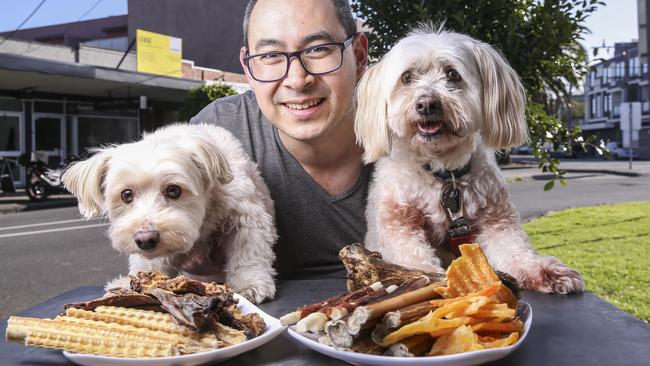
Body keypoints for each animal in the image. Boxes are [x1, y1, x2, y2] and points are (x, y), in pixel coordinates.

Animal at [63, 123, 278, 304]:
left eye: (174, 190)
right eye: (126, 195)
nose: (145, 239)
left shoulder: (245, 215)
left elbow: (248, 252)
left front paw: (249, 284)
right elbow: (148, 265)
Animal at [352, 26, 584, 294]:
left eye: (452, 74)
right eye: (407, 77)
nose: (426, 104)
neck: (443, 172)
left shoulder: (497, 220)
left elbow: (513, 248)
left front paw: (541, 270)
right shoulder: (398, 224)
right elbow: (411, 256)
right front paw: (421, 278)